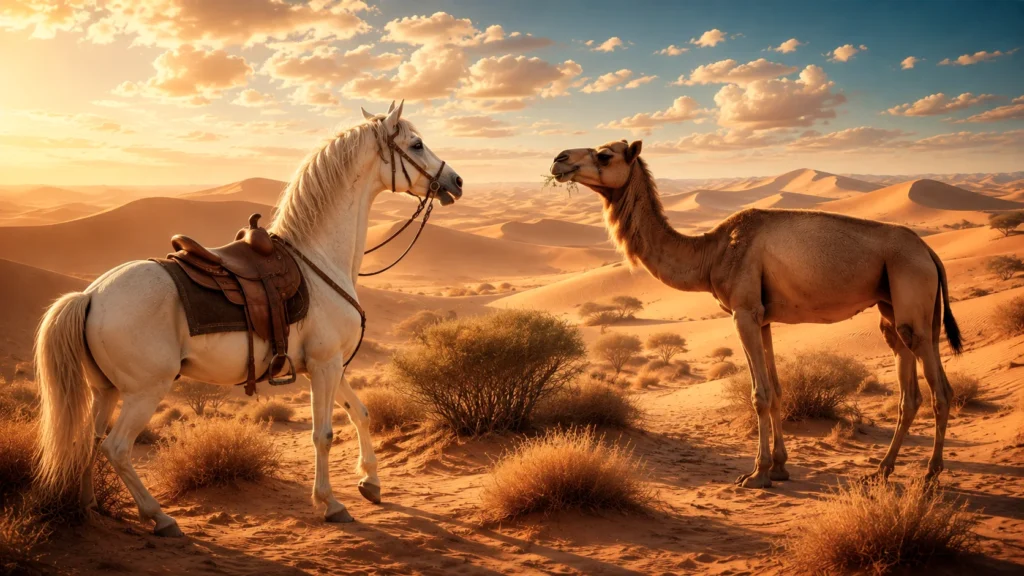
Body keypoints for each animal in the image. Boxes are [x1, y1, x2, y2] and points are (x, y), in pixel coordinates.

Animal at [33, 101, 463, 536]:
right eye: (417, 143)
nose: (456, 181)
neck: (319, 260)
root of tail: (89, 295)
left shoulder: (330, 364)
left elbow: (360, 412)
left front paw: (371, 482)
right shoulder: (324, 364)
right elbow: (322, 434)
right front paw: (329, 503)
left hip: (105, 389)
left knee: (88, 440)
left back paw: (90, 507)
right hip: (144, 391)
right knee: (116, 447)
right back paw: (159, 516)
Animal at [550, 140, 962, 488]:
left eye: (605, 155)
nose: (559, 160)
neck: (710, 253)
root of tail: (929, 252)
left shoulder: (743, 312)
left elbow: (759, 395)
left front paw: (757, 473)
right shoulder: (763, 318)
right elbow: (777, 391)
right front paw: (780, 467)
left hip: (911, 294)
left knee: (940, 391)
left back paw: (929, 475)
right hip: (895, 309)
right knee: (910, 390)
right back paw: (881, 471)